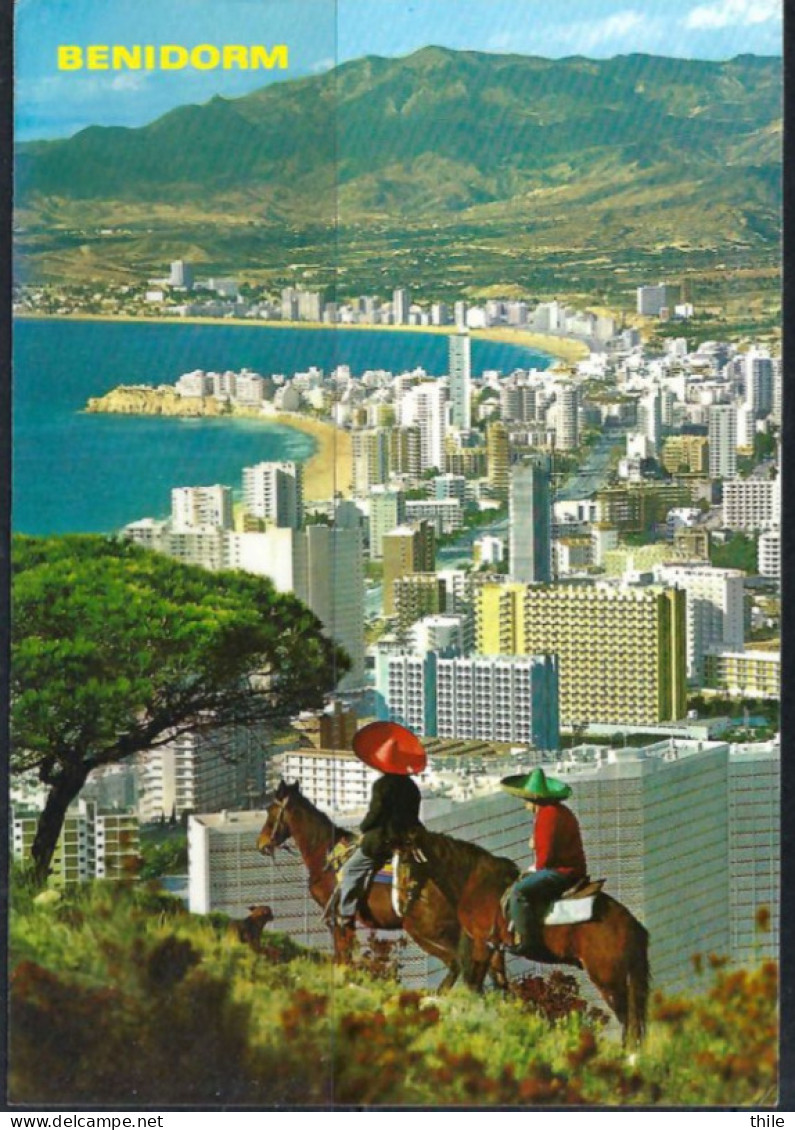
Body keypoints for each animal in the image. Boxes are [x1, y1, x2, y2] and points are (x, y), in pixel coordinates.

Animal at [255, 781, 510, 994]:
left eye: (270, 811)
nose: (261, 844)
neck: (326, 854)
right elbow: (346, 955)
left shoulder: (337, 916)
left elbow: (342, 954)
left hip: (425, 932)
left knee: (457, 965)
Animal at [411, 822, 650, 1048]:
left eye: (408, 858)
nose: (409, 899)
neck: (474, 882)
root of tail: (632, 926)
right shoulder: (495, 948)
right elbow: (500, 985)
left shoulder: (482, 944)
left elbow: (474, 985)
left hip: (609, 981)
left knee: (629, 1022)